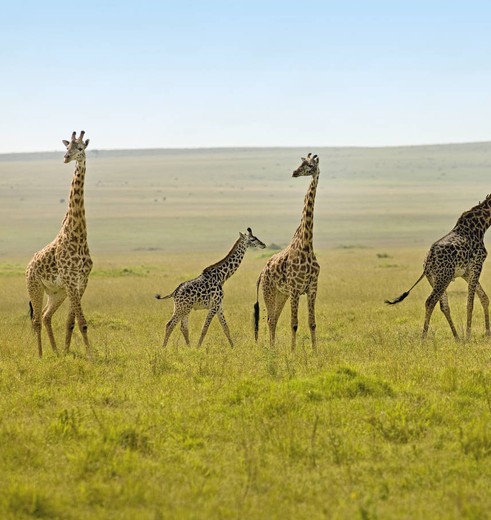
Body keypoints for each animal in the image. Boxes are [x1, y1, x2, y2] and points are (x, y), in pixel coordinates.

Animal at [25, 131, 94, 358]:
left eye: (80, 148)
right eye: (66, 146)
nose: (66, 157)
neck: (78, 235)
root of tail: (28, 266)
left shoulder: (81, 282)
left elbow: (71, 322)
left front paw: (66, 351)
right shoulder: (71, 281)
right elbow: (82, 322)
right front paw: (90, 356)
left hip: (56, 293)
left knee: (46, 316)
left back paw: (55, 351)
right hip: (35, 287)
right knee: (36, 320)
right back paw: (40, 355)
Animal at [254, 152, 322, 352]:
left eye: (310, 165)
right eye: (301, 163)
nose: (294, 172)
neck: (306, 244)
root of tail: (262, 273)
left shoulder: (312, 288)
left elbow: (312, 323)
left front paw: (315, 352)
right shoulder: (295, 289)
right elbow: (294, 324)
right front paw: (293, 352)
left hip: (281, 294)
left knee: (274, 319)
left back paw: (273, 348)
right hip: (270, 291)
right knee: (270, 320)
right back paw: (272, 350)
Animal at [386, 193, 491, 340]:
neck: (481, 225)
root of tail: (428, 262)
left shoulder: (466, 272)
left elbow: (484, 297)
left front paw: (487, 334)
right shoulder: (477, 264)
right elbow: (470, 303)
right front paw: (469, 336)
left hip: (436, 278)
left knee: (443, 305)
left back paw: (457, 338)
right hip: (443, 278)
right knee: (430, 302)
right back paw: (423, 339)